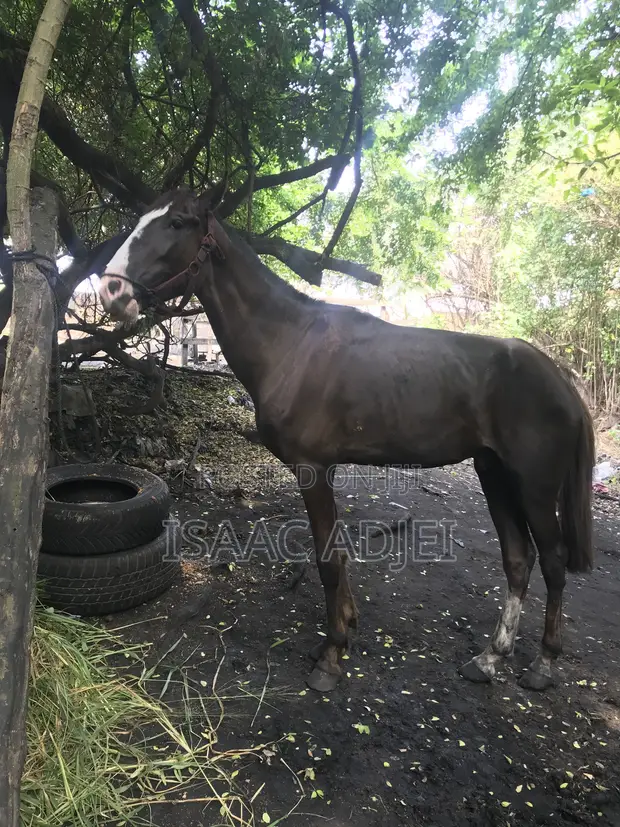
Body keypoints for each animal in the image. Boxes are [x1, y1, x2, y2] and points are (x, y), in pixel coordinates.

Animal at [98, 187, 595, 693]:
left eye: (177, 223)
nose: (111, 292)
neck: (291, 345)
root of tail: (561, 380)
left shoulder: (313, 469)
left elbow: (327, 561)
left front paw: (332, 655)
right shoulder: (327, 470)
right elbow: (336, 552)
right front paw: (346, 628)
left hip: (534, 487)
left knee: (553, 561)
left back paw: (544, 664)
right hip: (495, 475)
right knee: (518, 559)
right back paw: (491, 657)